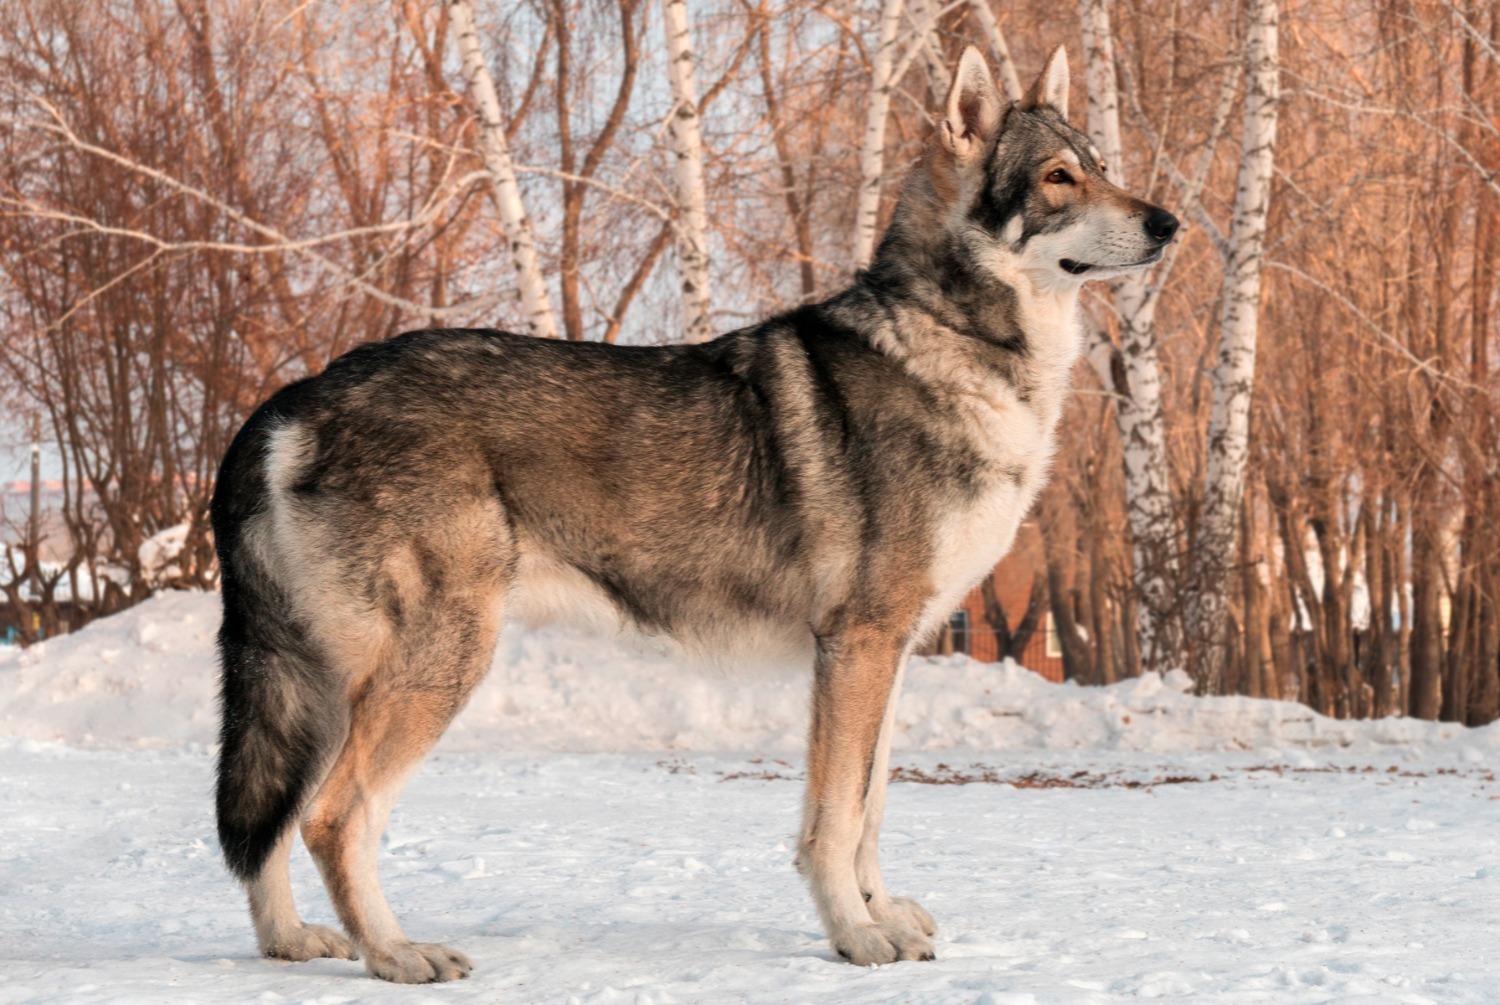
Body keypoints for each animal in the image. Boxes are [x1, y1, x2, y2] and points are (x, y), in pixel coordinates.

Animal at [214, 43, 1170, 978]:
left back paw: (291, 941)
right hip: (433, 664)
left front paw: (882, 913)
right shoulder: (857, 647)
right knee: (335, 815)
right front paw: (854, 937)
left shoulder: (890, 651)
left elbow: (871, 809)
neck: (956, 346)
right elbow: (835, 819)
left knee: (270, 822)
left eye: (1101, 164)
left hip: (317, 684)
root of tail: (299, 393)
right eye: (1057, 178)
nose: (1169, 224)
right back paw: (396, 951)